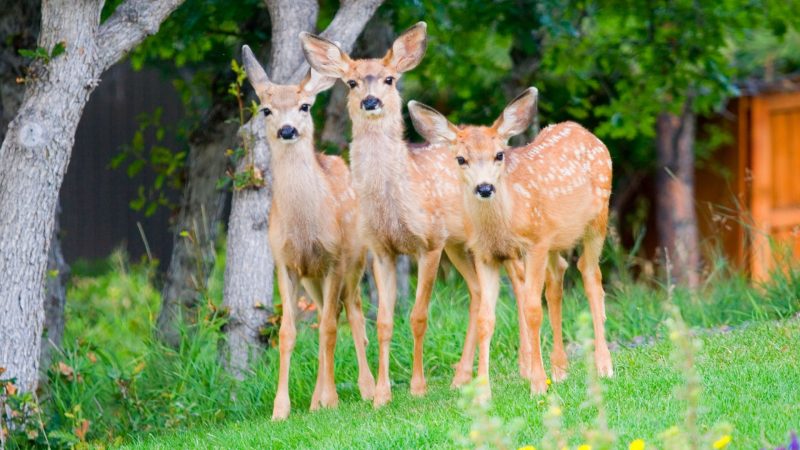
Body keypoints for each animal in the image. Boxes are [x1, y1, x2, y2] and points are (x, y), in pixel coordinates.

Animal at [239, 44, 376, 420]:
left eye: (304, 106)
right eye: (267, 109)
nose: (287, 130)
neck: (305, 229)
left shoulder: (334, 259)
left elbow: (328, 328)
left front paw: (330, 400)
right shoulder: (285, 263)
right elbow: (288, 332)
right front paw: (280, 409)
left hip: (356, 262)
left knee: (353, 315)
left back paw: (366, 389)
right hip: (313, 280)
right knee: (333, 315)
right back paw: (318, 399)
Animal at [304, 22, 540, 406]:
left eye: (389, 79)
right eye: (352, 82)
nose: (371, 102)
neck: (398, 199)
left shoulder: (429, 242)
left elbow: (418, 316)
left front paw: (417, 387)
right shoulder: (381, 250)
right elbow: (384, 321)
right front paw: (381, 395)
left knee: (518, 283)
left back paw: (525, 368)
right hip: (460, 245)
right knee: (478, 292)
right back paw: (462, 378)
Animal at [410, 87, 616, 398]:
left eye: (499, 155)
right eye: (460, 159)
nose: (484, 188)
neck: (501, 225)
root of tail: (587, 133)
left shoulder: (535, 243)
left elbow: (532, 309)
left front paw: (538, 385)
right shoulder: (486, 254)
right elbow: (485, 318)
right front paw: (483, 391)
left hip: (598, 220)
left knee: (591, 276)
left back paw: (604, 366)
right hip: (556, 238)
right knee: (558, 278)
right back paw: (560, 369)